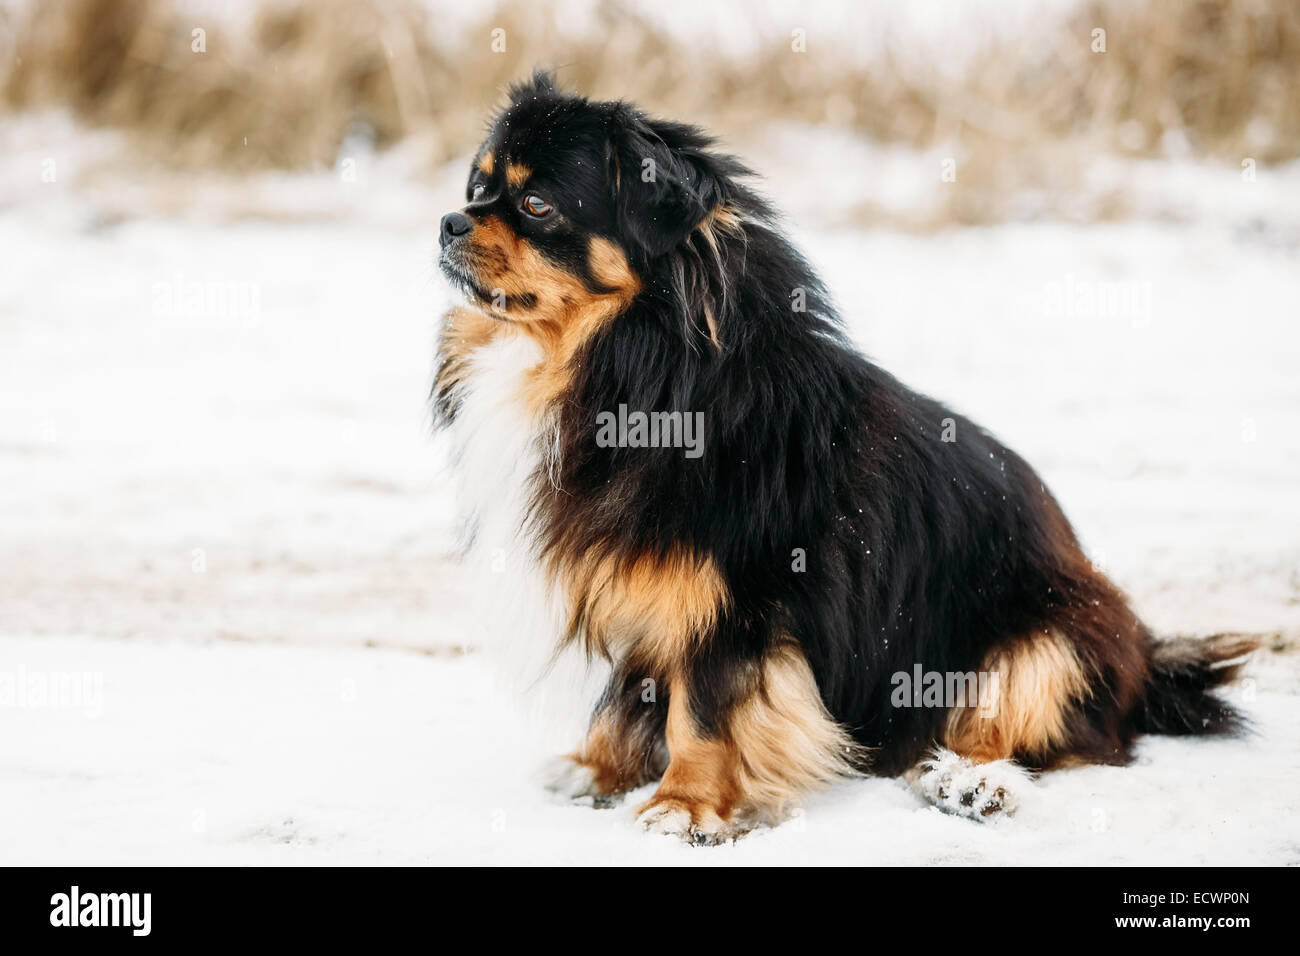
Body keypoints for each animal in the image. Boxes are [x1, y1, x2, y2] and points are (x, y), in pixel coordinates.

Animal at [436, 70, 1258, 842]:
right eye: (477, 189)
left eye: (536, 205)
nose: (448, 220)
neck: (634, 365)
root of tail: (1145, 656)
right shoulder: (635, 582)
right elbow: (627, 695)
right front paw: (595, 770)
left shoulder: (733, 597)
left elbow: (702, 709)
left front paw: (683, 807)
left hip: (1047, 639)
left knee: (1026, 731)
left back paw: (969, 783)